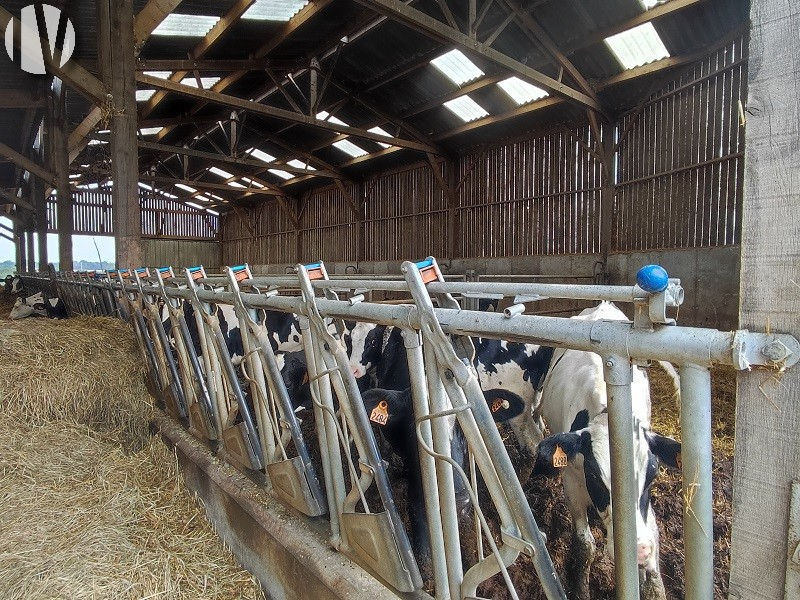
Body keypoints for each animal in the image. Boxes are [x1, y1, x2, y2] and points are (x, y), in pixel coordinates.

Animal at [532, 304, 680, 600]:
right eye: (594, 476)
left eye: (653, 475)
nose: (638, 550)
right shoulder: (572, 481)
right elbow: (585, 545)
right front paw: (581, 588)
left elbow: (655, 535)